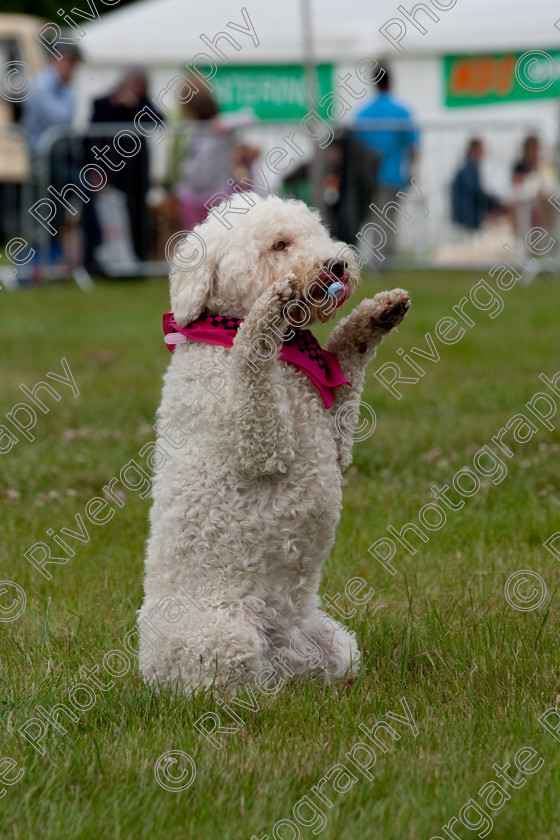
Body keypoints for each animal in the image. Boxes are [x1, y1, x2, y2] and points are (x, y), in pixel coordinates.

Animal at [139, 194, 412, 692]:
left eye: (318, 233)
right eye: (280, 244)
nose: (338, 264)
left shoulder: (337, 436)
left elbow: (349, 358)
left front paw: (375, 315)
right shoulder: (258, 439)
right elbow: (251, 360)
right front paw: (266, 313)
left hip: (335, 645)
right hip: (220, 640)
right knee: (222, 684)